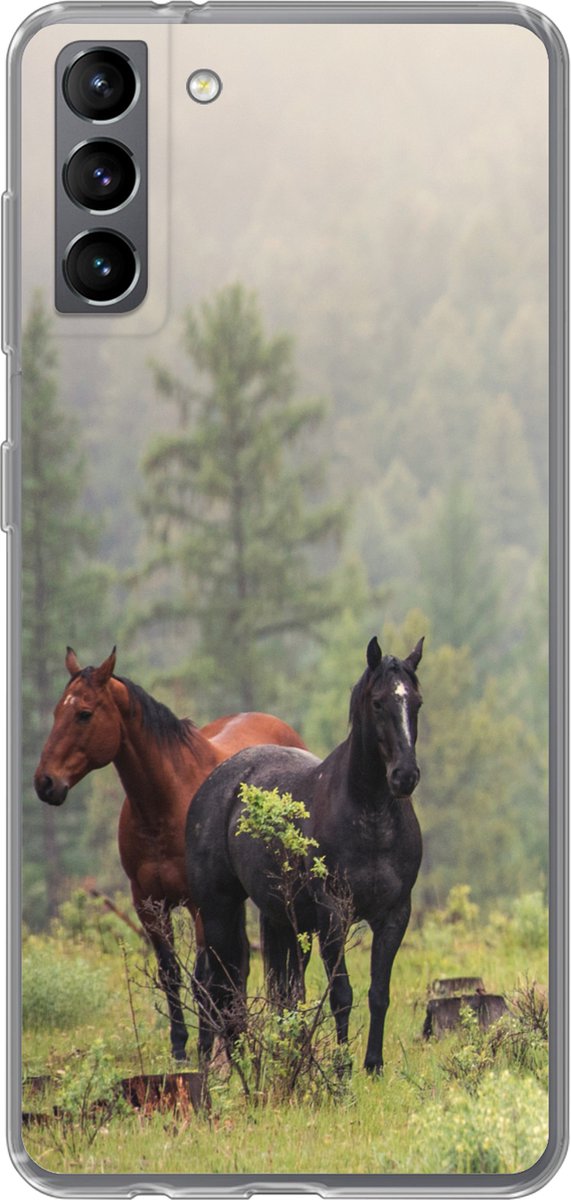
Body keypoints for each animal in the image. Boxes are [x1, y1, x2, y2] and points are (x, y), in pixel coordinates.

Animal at [33, 646, 307, 1060]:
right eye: (55, 713)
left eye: (84, 713)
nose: (45, 782)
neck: (165, 805)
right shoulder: (148, 902)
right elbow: (170, 973)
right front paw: (180, 1047)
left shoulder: (198, 903)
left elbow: (202, 978)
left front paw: (206, 1045)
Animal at [185, 635, 424, 1074]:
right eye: (378, 702)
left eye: (415, 702)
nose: (404, 776)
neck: (370, 816)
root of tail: (217, 781)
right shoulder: (333, 913)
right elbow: (342, 996)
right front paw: (343, 1069)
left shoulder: (394, 914)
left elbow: (378, 993)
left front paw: (373, 1066)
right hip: (216, 909)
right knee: (218, 986)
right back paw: (228, 1063)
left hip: (282, 919)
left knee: (280, 992)